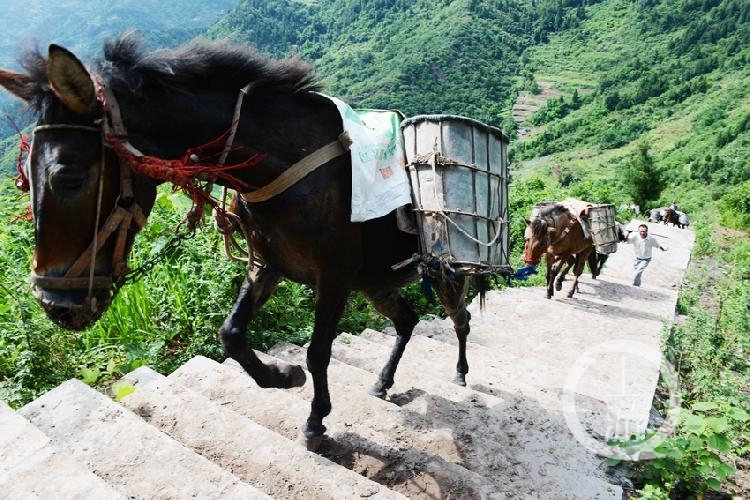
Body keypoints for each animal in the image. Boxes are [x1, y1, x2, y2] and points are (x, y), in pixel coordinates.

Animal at [0, 35, 484, 450]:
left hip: (444, 272)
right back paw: (383, 381)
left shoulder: (334, 279)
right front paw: (282, 375)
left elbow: (318, 352)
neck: (282, 166)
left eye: (68, 177)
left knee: (460, 320)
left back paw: (461, 373)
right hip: (378, 283)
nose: (55, 306)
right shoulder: (267, 265)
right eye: (23, 181)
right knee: (407, 321)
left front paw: (315, 421)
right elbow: (231, 334)